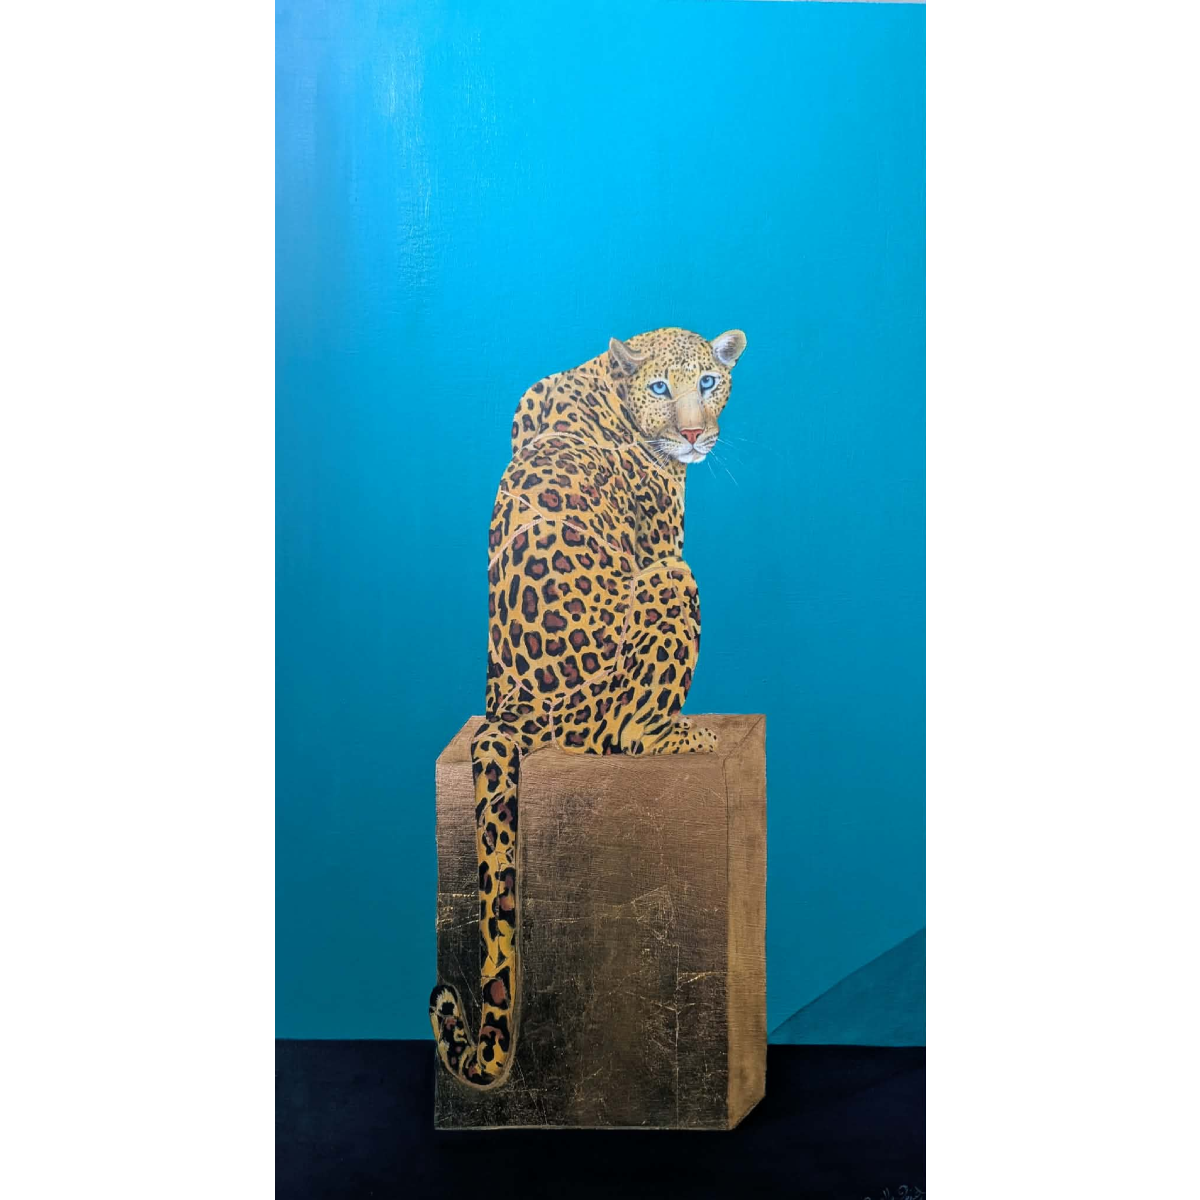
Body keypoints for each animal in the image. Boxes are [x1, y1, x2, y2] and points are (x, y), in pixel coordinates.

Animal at [429, 325, 748, 1089]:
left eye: (710, 382)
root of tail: (513, 712)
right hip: (668, 584)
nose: (694, 434)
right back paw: (681, 735)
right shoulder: (661, 539)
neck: (606, 377)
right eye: (661, 388)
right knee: (629, 732)